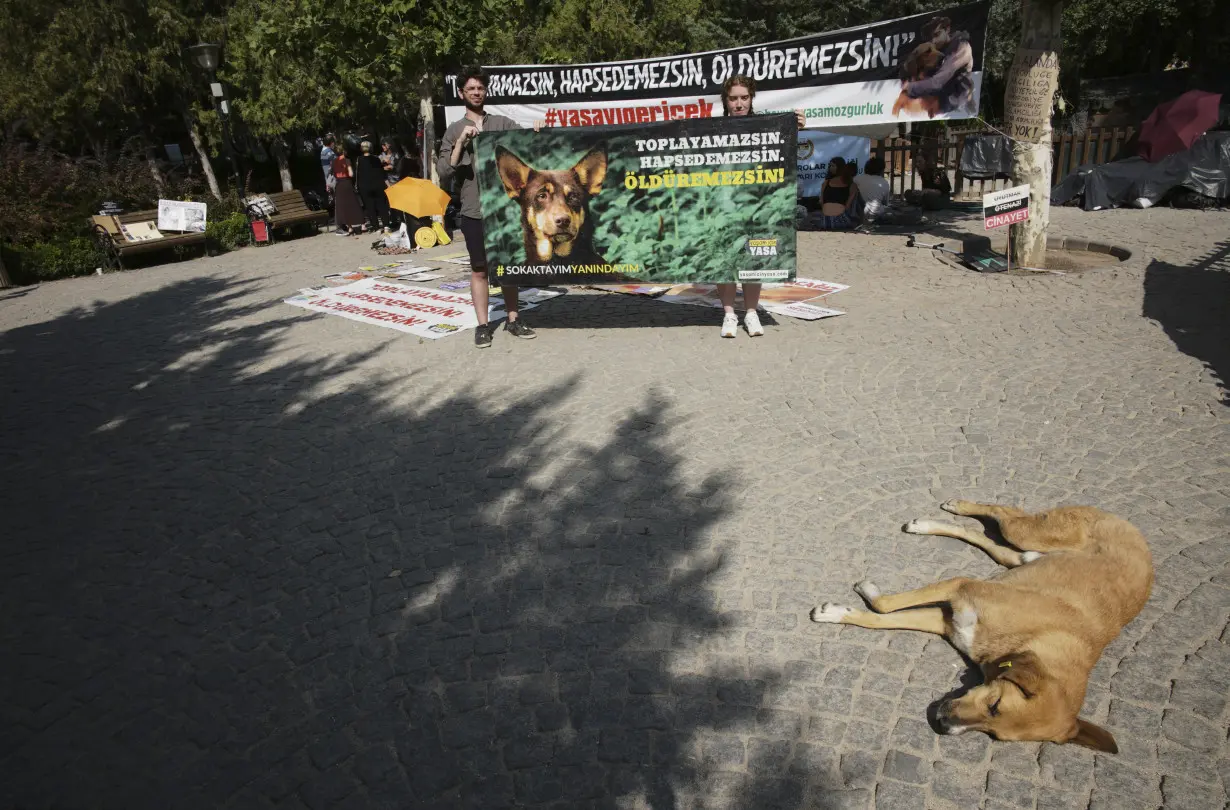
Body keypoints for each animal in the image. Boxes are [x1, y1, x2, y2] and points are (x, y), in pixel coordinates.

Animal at [806, 501, 1151, 752]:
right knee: (1005, 512)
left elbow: (881, 616)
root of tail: (1138, 533)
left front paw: (841, 611)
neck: (1032, 637)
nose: (943, 725)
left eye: (994, 735)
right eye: (995, 704)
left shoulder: (948, 621)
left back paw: (930, 524)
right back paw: (957, 507)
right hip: (1027, 533)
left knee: (986, 539)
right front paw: (854, 600)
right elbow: (883, 606)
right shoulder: (961, 588)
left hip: (1020, 558)